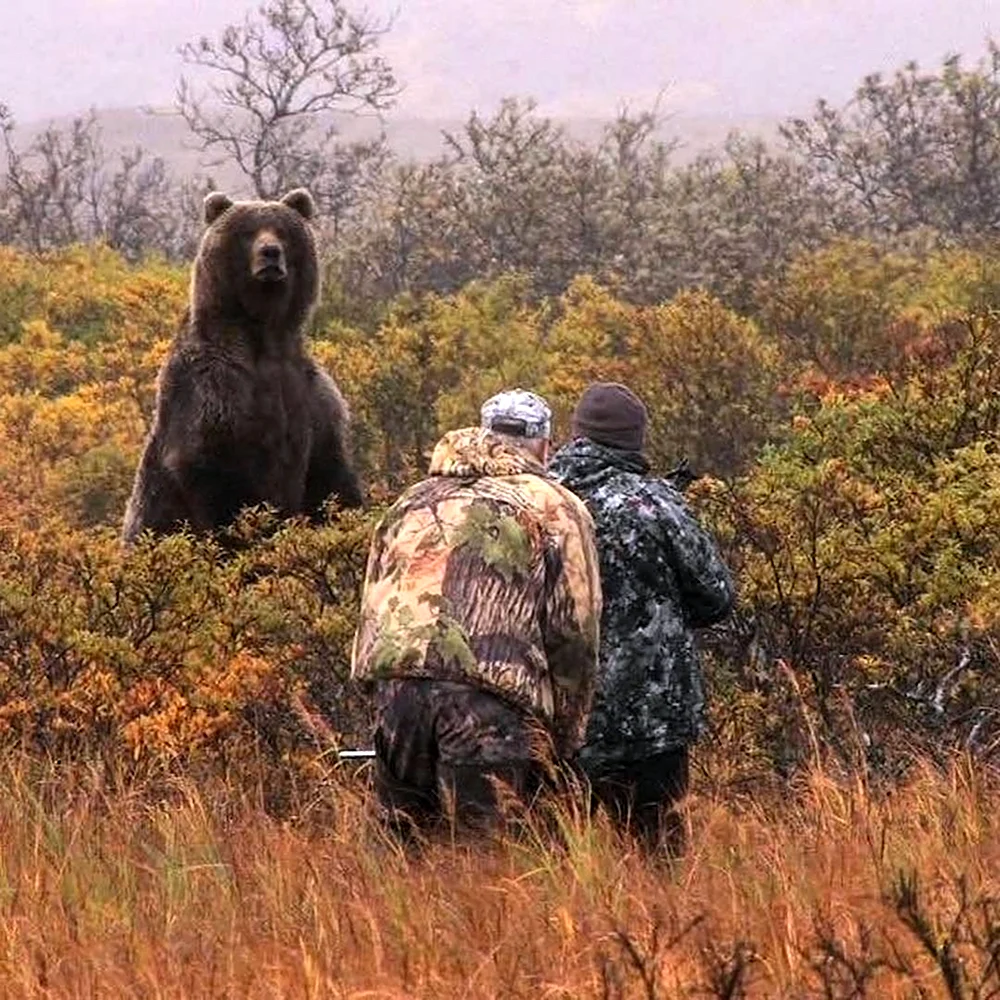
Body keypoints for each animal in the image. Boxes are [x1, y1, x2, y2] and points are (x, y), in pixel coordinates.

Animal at [121, 188, 364, 548]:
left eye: (282, 231)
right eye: (248, 231)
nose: (270, 252)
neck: (263, 337)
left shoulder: (310, 395)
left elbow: (329, 474)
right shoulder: (214, 390)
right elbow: (214, 476)